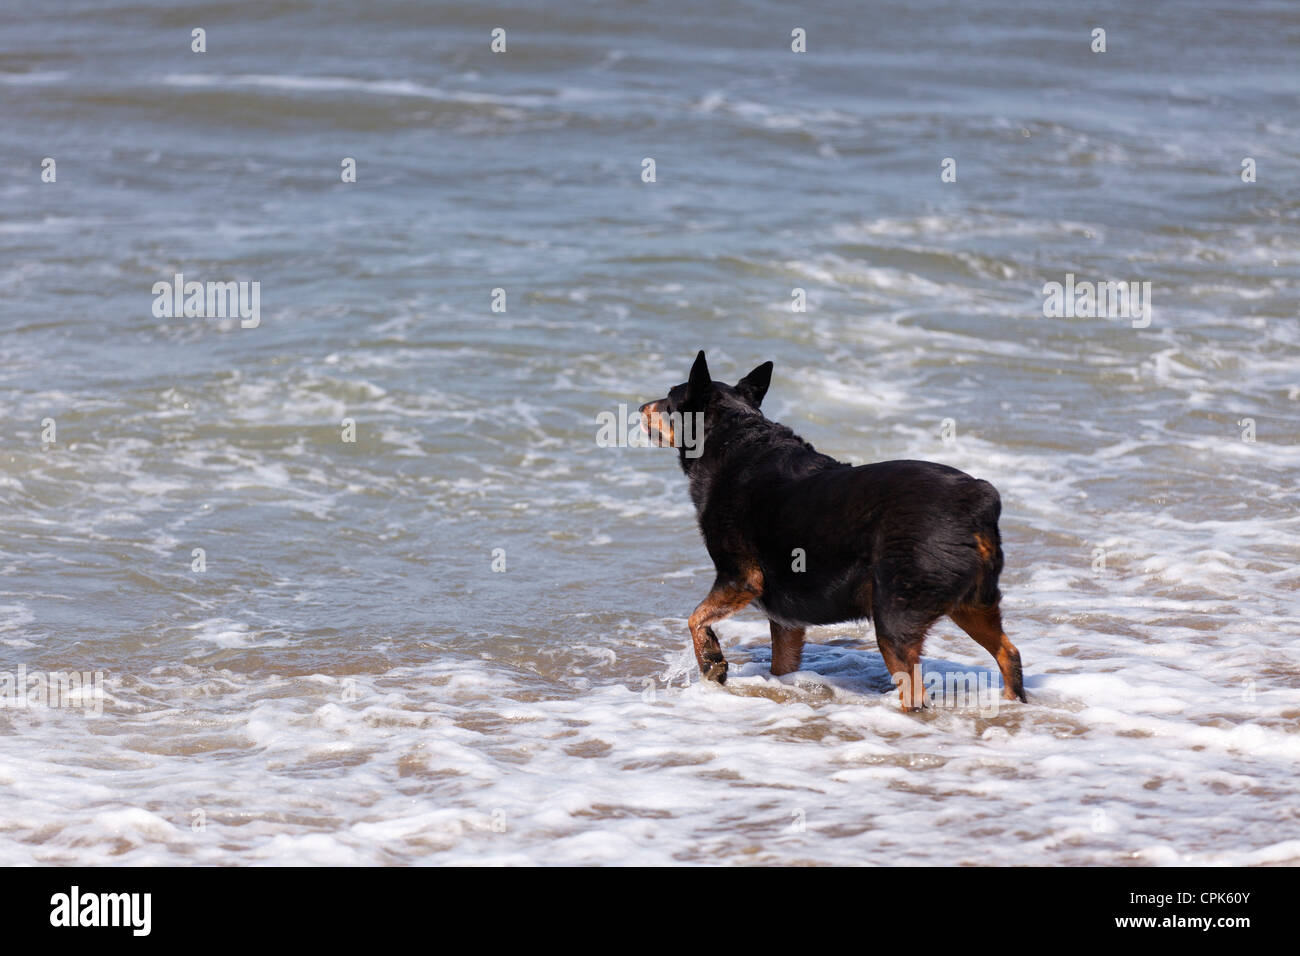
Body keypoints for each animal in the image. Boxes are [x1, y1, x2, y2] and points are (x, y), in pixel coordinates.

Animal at [639, 351, 1024, 712]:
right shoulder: (786, 620)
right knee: (1009, 653)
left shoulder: (740, 577)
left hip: (895, 618)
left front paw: (712, 662)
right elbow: (782, 665)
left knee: (915, 690)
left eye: (668, 399)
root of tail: (976, 499)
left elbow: (695, 618)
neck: (734, 437)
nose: (641, 407)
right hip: (973, 604)